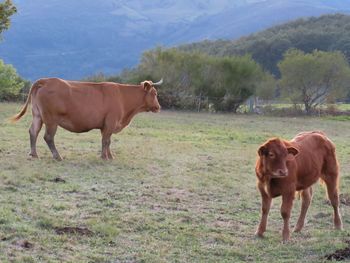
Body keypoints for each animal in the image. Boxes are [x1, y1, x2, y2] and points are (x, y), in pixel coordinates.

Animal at [10, 78, 162, 161]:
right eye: (154, 93)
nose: (158, 107)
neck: (122, 97)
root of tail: (46, 80)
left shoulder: (105, 126)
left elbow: (107, 142)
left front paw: (109, 156)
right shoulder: (110, 123)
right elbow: (106, 141)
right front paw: (105, 157)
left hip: (37, 116)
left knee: (33, 132)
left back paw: (34, 154)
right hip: (51, 120)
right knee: (48, 137)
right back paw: (57, 156)